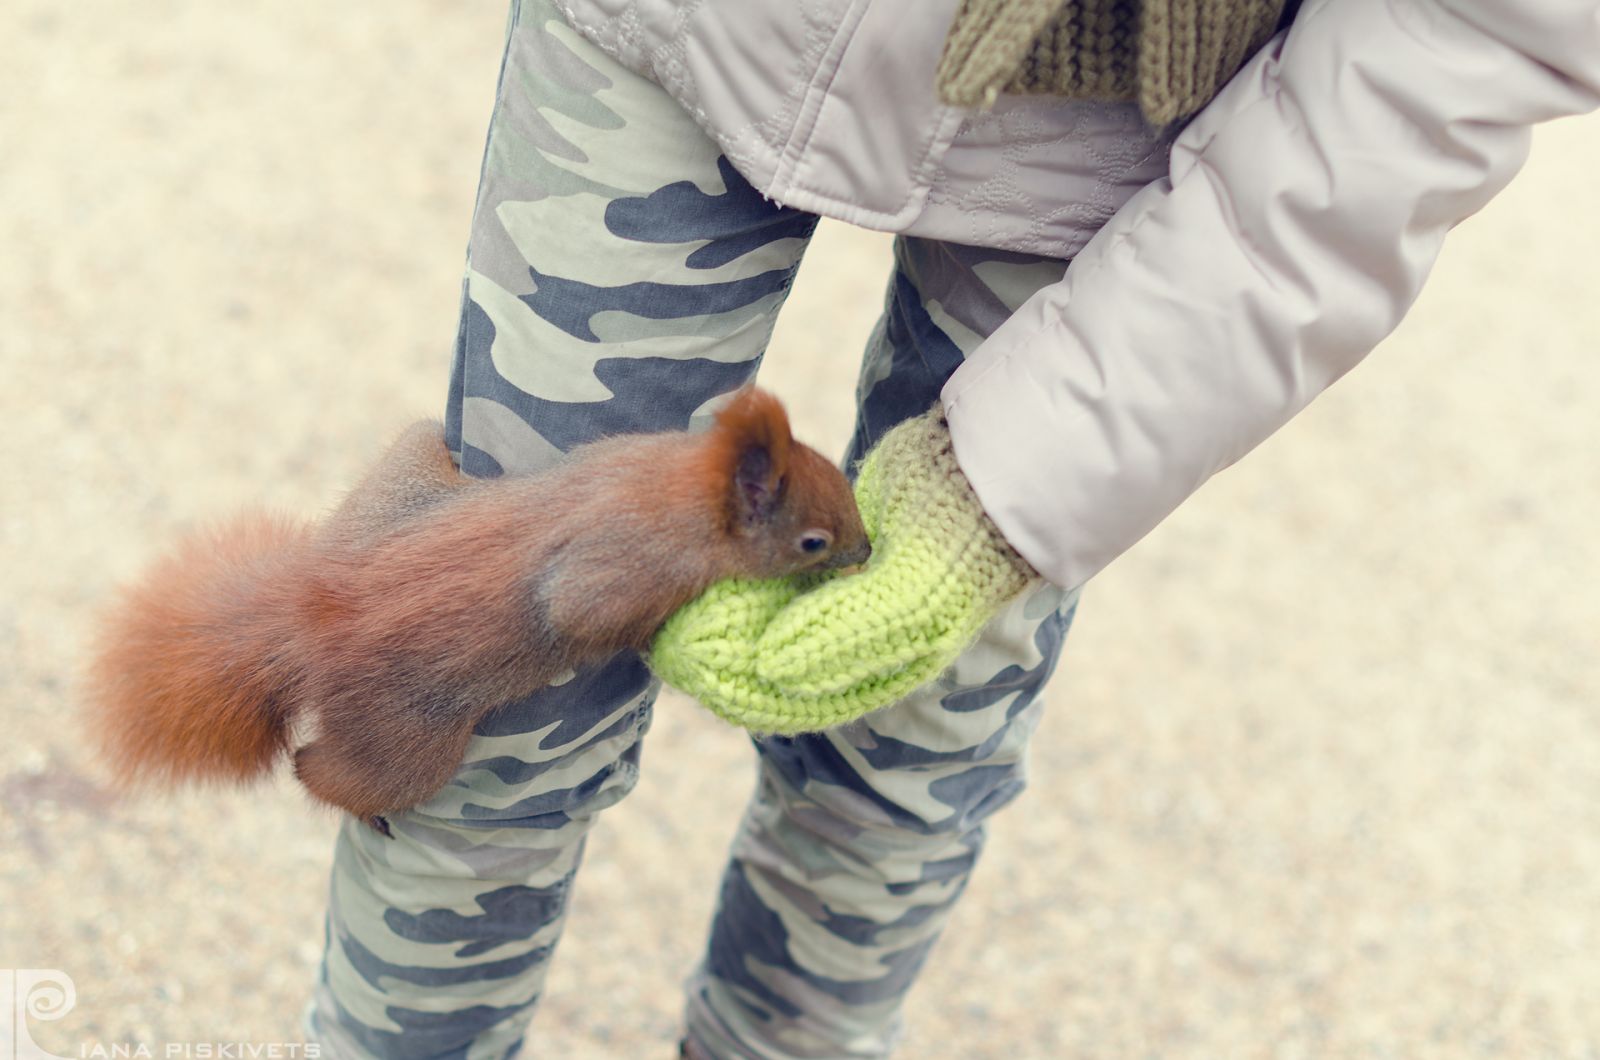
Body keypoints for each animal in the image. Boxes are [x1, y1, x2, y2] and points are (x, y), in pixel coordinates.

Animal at [87, 385, 870, 832]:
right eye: (812, 541)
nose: (865, 551)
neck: (682, 492)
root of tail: (318, 620)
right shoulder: (619, 569)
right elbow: (586, 614)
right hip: (406, 741)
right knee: (332, 771)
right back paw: (337, 788)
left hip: (398, 482)